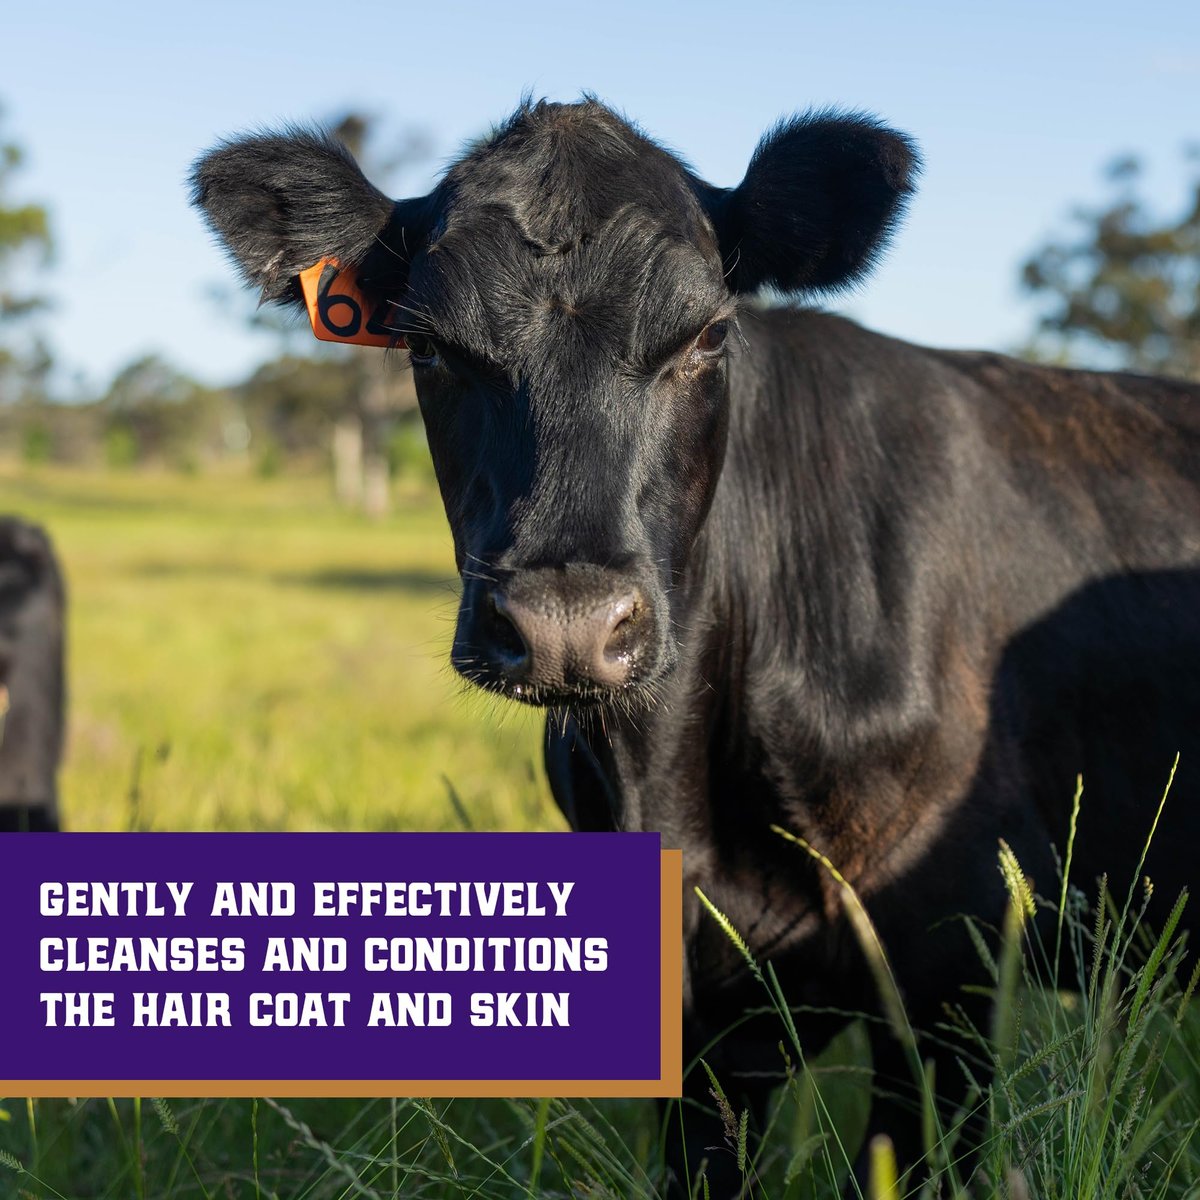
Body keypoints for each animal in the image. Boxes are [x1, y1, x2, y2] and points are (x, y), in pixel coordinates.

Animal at [192, 98, 1200, 1194]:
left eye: (709, 334)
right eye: (429, 349)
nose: (567, 625)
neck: (674, 786)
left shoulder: (949, 974)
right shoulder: (710, 1034)